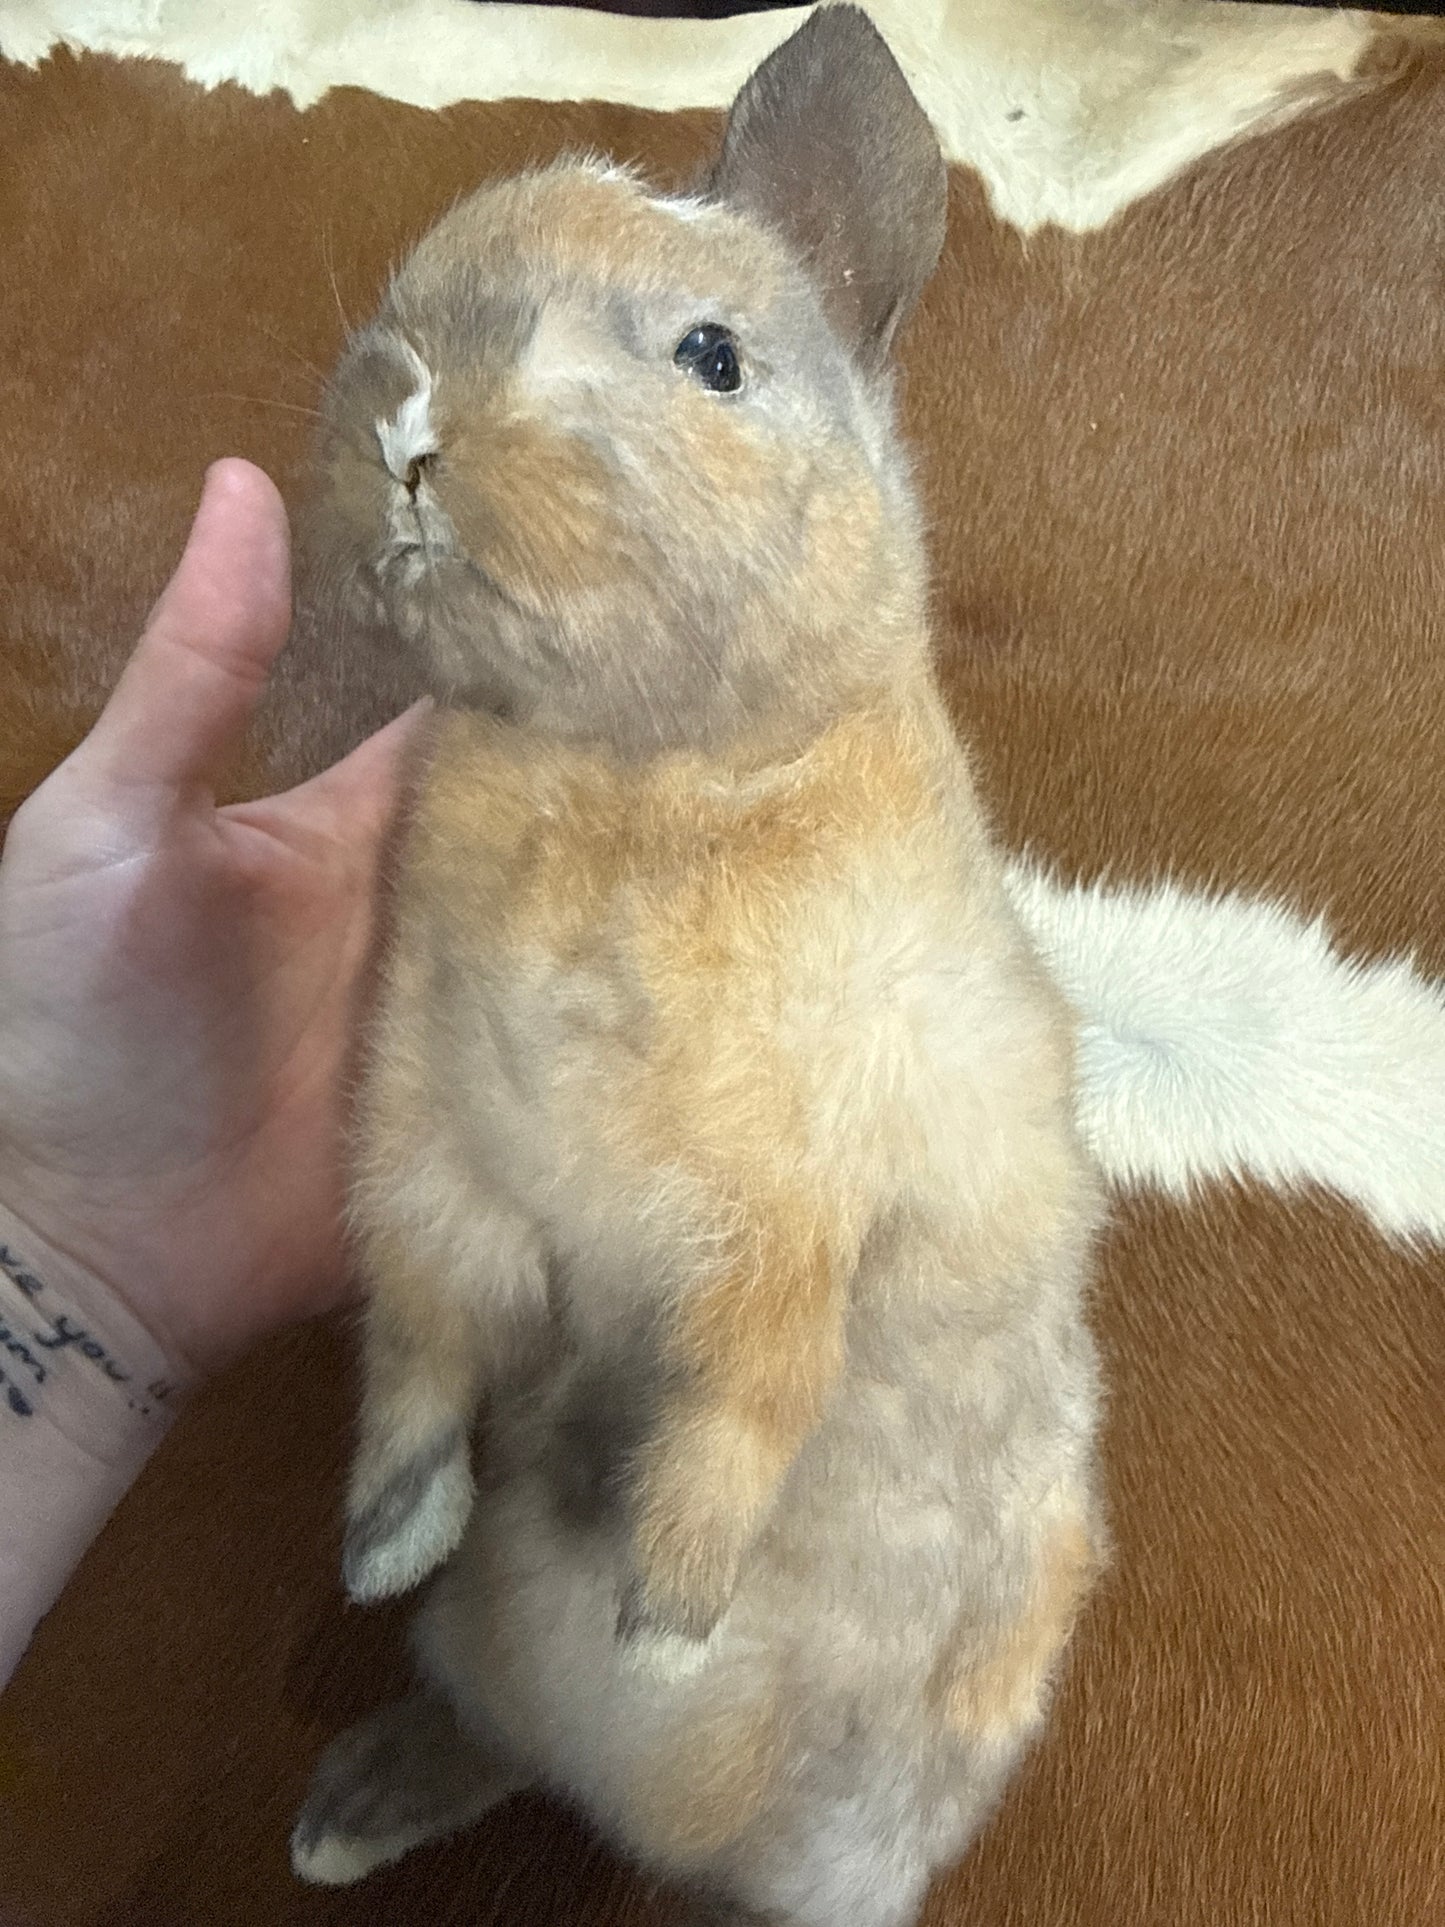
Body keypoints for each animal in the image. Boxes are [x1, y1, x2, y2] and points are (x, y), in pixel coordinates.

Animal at [290, 9, 1104, 1925]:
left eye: (713, 358)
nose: (411, 405)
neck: (639, 774)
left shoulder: (800, 1201)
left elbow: (749, 1396)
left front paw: (665, 1613)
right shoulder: (430, 1135)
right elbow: (421, 1336)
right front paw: (385, 1540)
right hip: (492, 1664)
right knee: (496, 1736)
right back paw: (350, 1804)